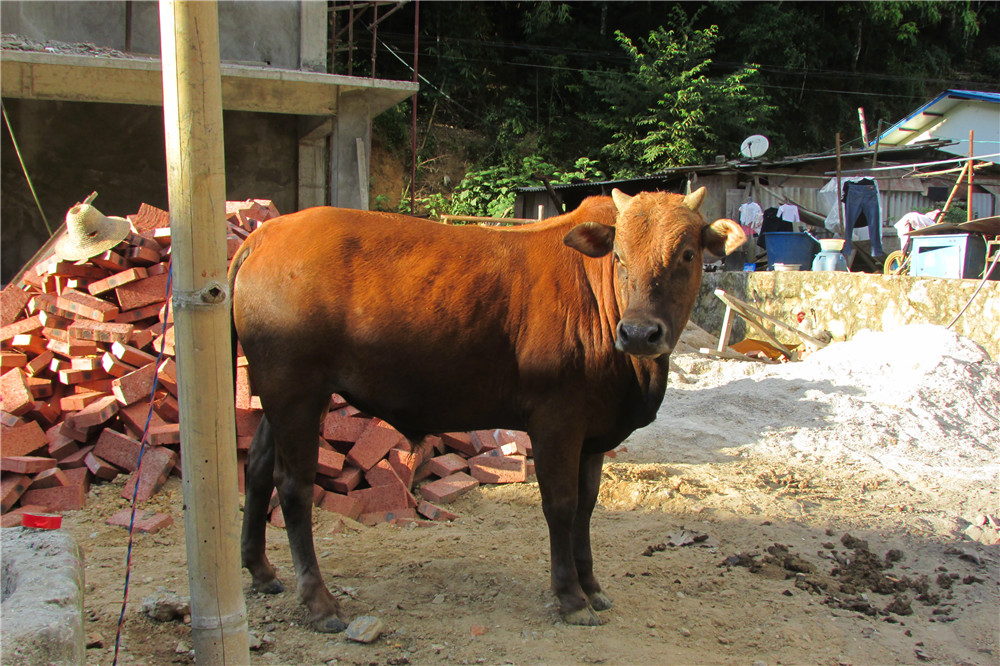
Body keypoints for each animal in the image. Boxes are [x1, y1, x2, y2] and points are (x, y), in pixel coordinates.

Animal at [227, 185, 744, 628]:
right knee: (292, 485)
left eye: (687, 253)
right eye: (619, 256)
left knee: (258, 466)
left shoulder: (594, 434)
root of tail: (267, 232)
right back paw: (318, 601)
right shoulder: (556, 420)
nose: (638, 333)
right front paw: (571, 596)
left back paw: (261, 570)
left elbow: (586, 506)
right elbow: (561, 505)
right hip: (295, 388)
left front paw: (592, 585)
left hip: (281, 395)